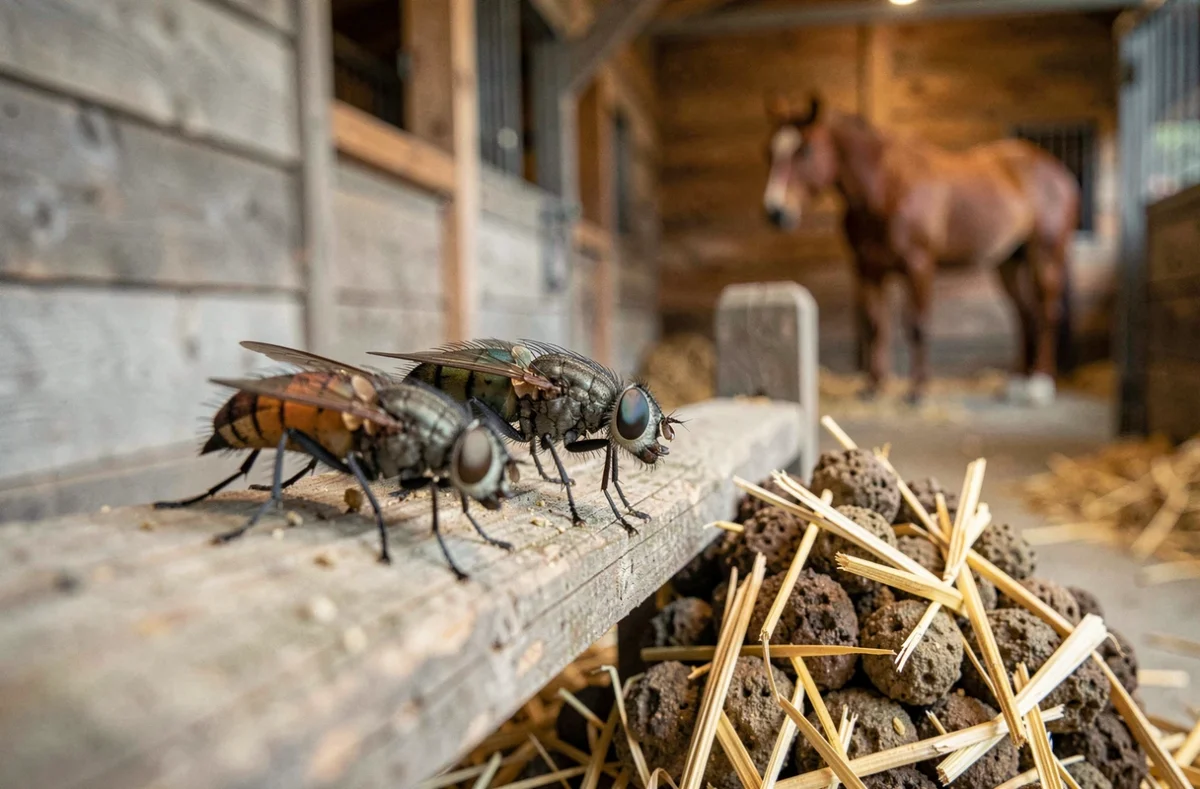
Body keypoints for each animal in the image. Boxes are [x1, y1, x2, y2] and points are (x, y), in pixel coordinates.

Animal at [762, 94, 1079, 405]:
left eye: (805, 151)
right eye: (769, 153)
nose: (776, 211)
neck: (885, 189)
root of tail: (1059, 172)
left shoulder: (918, 266)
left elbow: (917, 326)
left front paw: (917, 390)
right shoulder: (868, 269)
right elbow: (875, 325)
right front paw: (874, 386)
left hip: (1046, 255)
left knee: (1047, 311)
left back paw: (1040, 383)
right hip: (1010, 262)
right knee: (1025, 314)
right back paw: (1020, 382)